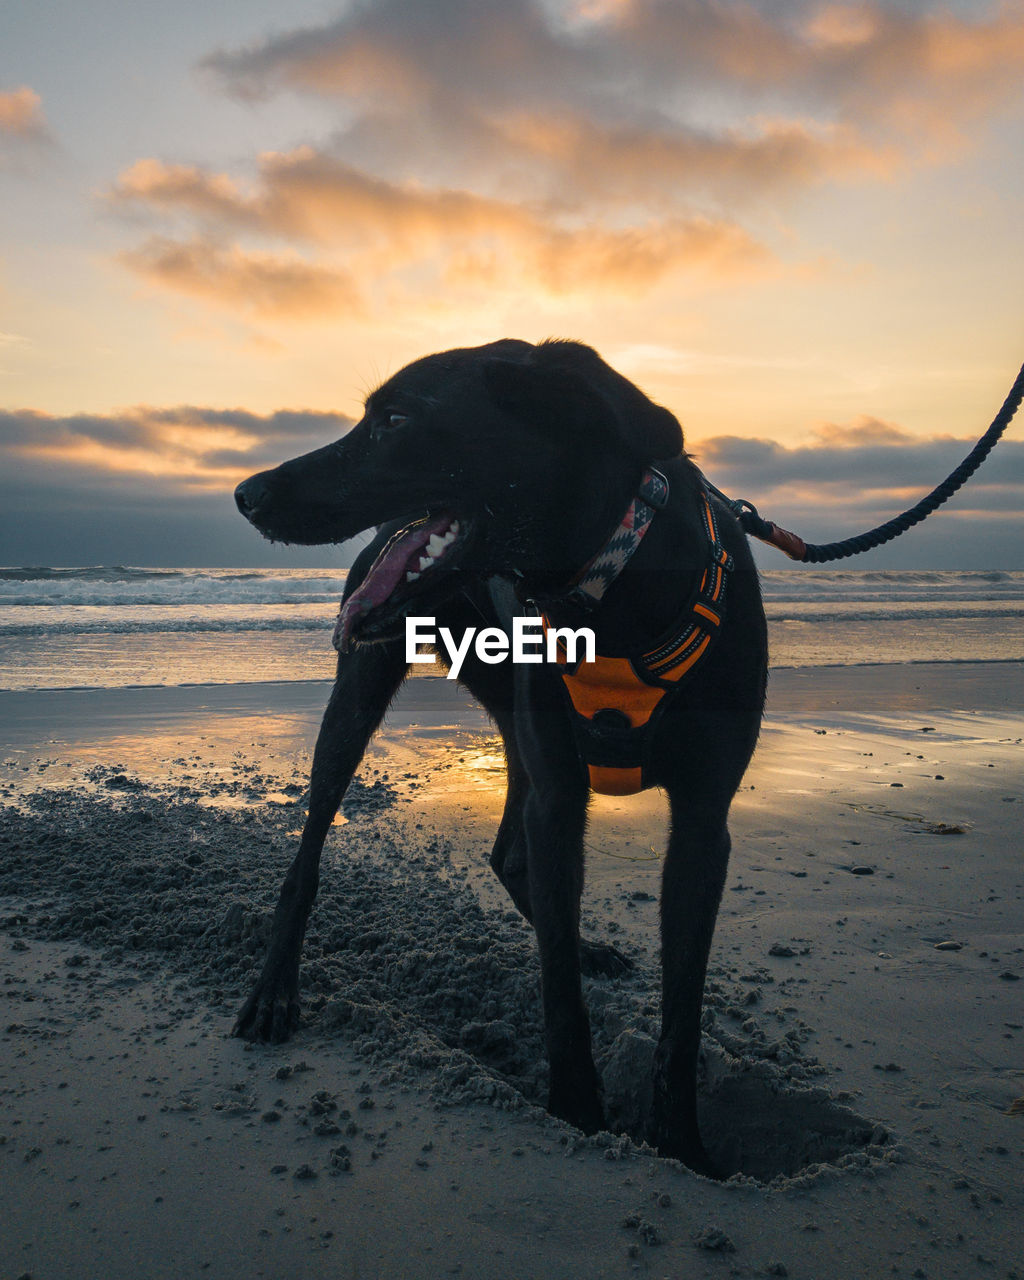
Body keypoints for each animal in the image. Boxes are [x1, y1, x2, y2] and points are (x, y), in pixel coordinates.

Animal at [230, 337, 757, 1172]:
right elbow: (559, 991)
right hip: (362, 692)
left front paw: (682, 1145)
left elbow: (682, 1008)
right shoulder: (562, 794)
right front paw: (576, 1110)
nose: (247, 494)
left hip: (512, 717)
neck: (614, 585)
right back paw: (274, 989)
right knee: (309, 853)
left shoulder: (703, 821)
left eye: (395, 421)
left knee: (512, 853)